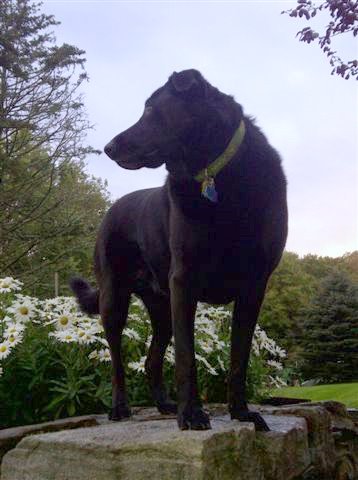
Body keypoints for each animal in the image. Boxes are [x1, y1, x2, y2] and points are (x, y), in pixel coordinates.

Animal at [70, 69, 288, 434]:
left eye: (149, 109)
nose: (108, 148)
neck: (214, 173)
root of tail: (112, 209)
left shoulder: (254, 285)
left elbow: (239, 358)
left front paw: (242, 413)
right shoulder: (184, 280)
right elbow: (187, 357)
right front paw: (192, 415)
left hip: (162, 308)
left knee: (151, 360)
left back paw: (164, 405)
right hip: (114, 299)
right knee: (116, 360)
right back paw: (120, 407)